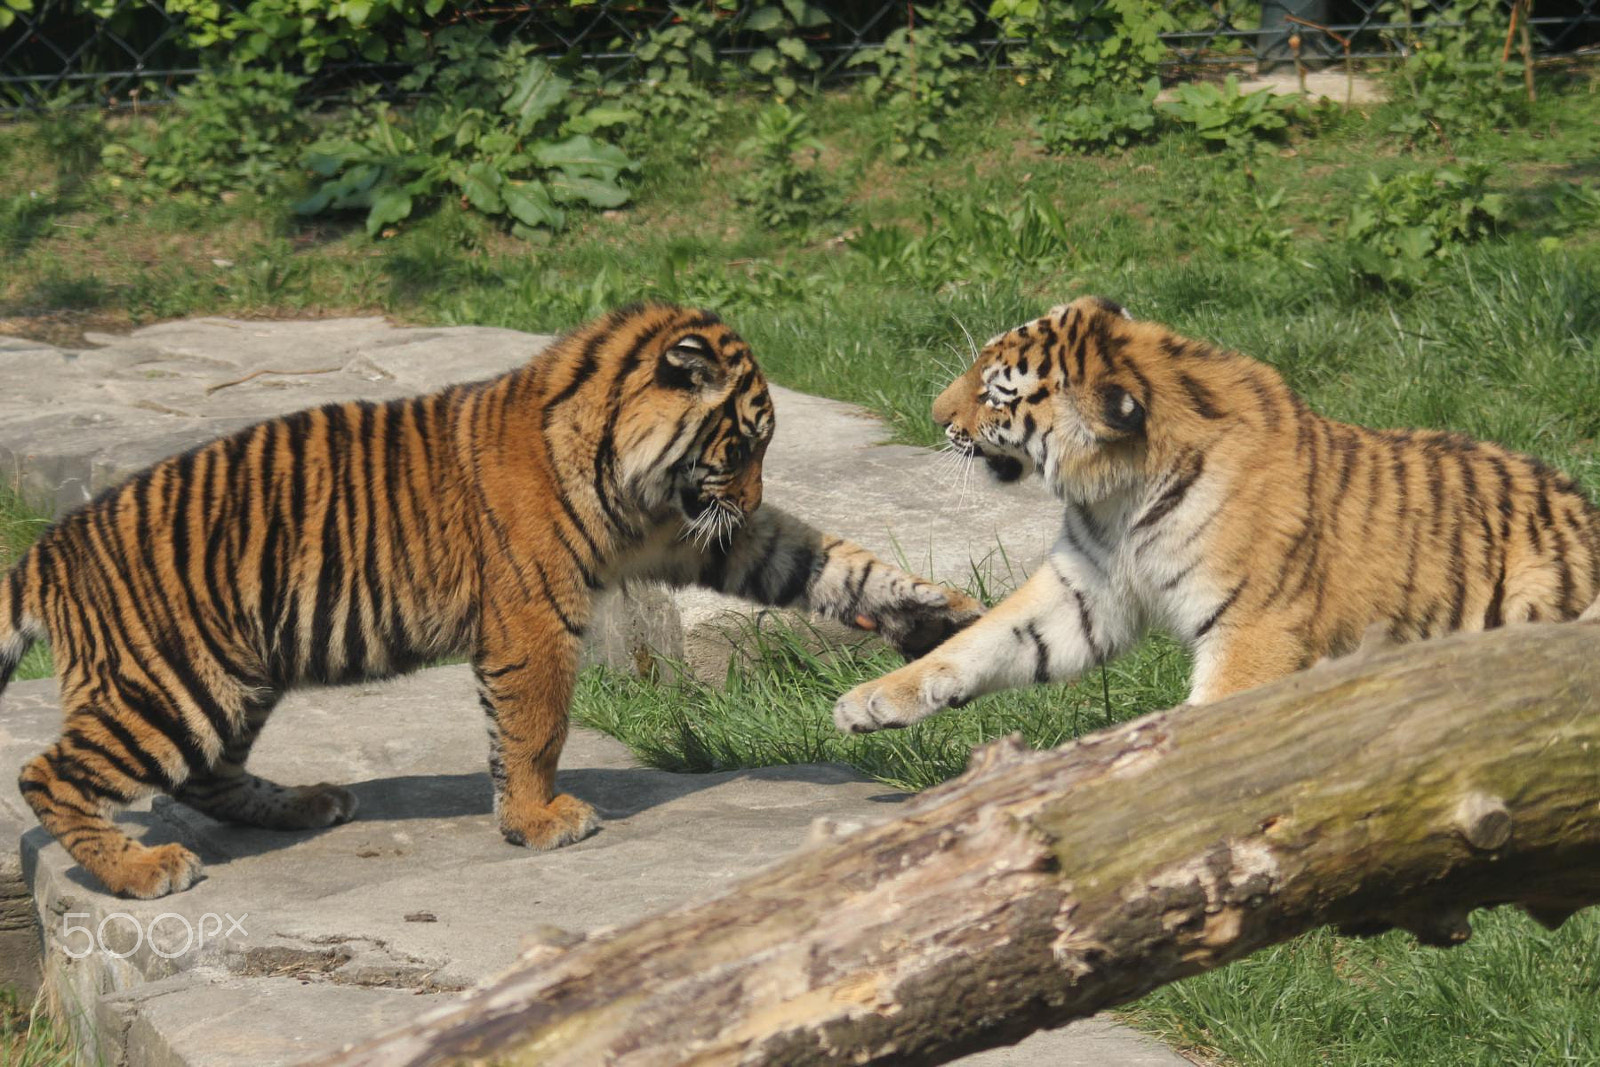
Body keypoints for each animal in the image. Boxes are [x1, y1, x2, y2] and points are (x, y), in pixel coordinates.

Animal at [0, 303, 979, 895]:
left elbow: (828, 560)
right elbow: (534, 726)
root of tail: (50, 545)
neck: (628, 474)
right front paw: (540, 820)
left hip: (234, 676)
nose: (746, 495)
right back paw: (140, 869)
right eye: (742, 444)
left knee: (205, 774)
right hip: (170, 685)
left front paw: (939, 616)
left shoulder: (708, 535)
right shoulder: (536, 619)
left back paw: (305, 804)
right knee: (48, 774)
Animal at [832, 295, 1600, 739]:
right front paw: (872, 700)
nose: (935, 416)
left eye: (995, 394)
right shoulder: (1086, 591)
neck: (1119, 495)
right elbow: (984, 641)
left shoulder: (1254, 626)